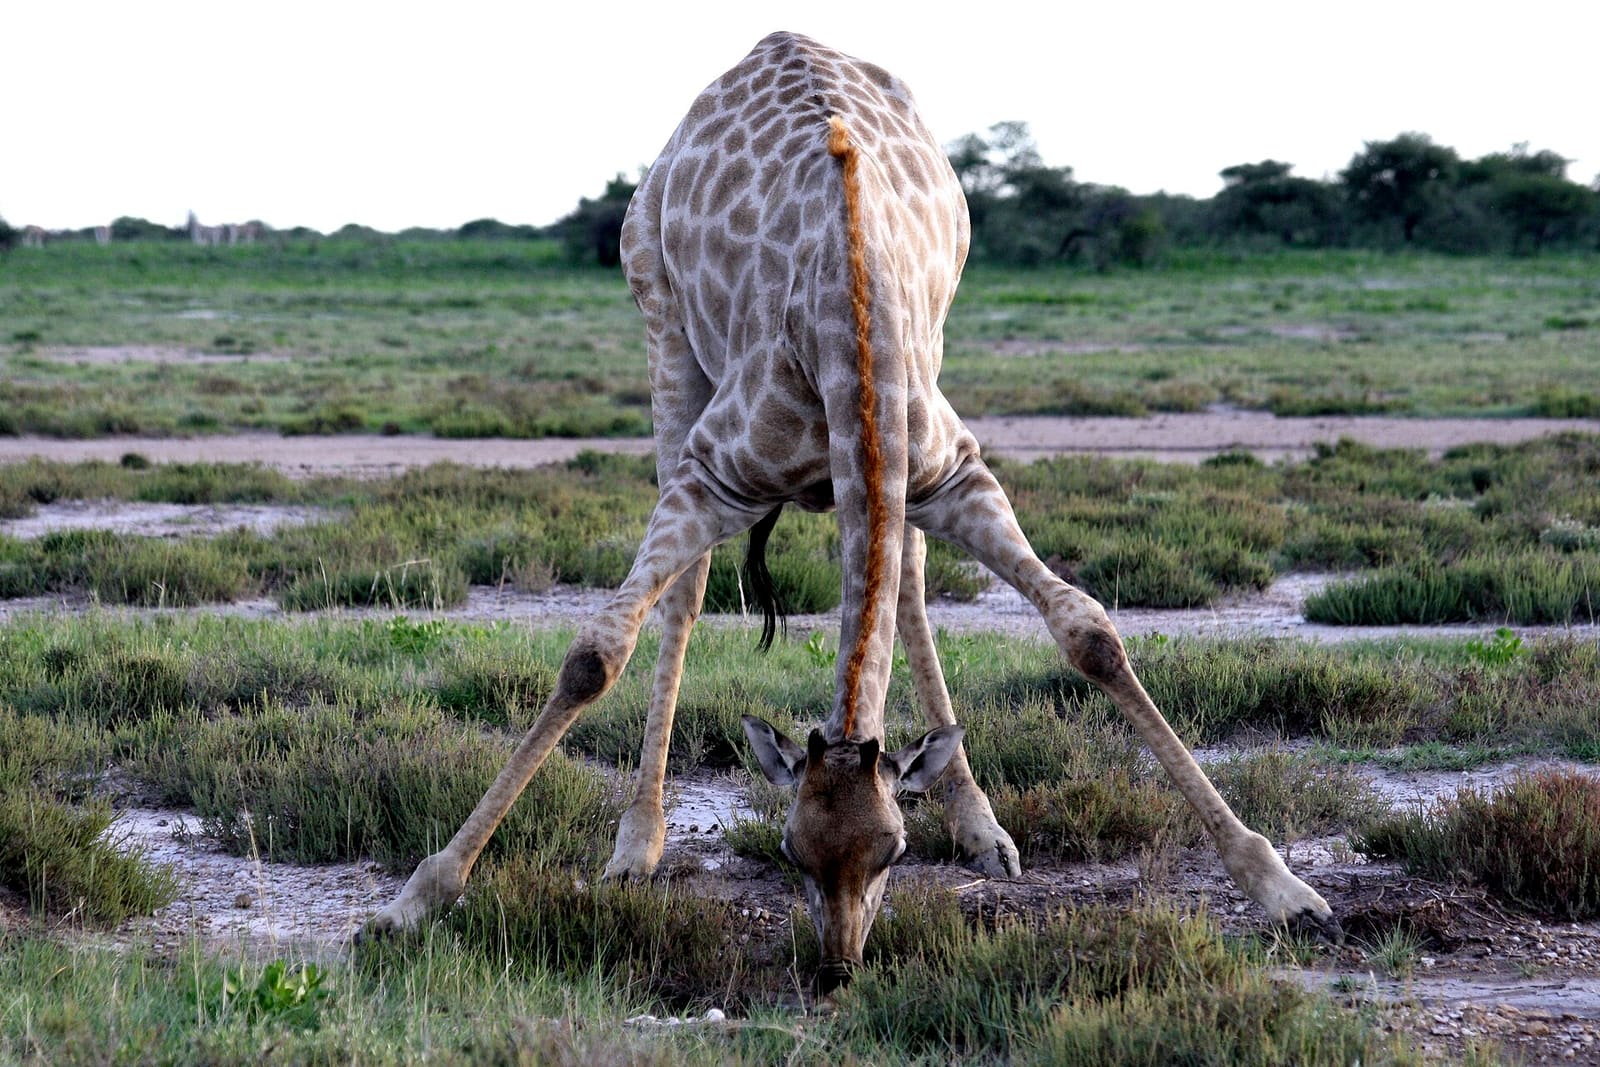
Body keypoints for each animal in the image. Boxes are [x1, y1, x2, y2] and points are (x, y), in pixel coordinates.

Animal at [362, 31, 1338, 991]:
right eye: (791, 852)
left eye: (893, 853)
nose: (839, 967)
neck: (848, 316)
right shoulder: (714, 474)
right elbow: (595, 653)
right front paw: (418, 894)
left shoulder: (949, 470)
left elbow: (1087, 631)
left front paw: (1285, 888)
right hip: (664, 333)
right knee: (689, 590)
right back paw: (638, 842)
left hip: (921, 384)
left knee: (903, 578)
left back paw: (983, 827)